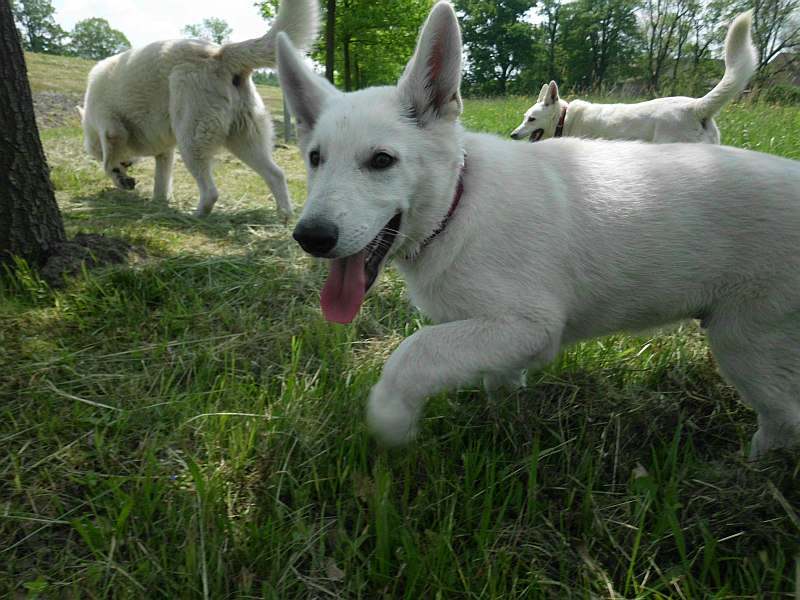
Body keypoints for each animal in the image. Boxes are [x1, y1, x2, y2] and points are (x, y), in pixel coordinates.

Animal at [78, 0, 318, 216]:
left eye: (96, 153)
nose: (128, 165)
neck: (89, 119)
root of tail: (220, 52)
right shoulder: (164, 152)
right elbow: (161, 181)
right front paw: (159, 203)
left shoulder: (110, 129)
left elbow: (108, 164)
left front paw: (121, 178)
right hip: (246, 142)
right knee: (276, 175)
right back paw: (284, 216)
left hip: (192, 142)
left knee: (211, 192)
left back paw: (196, 215)